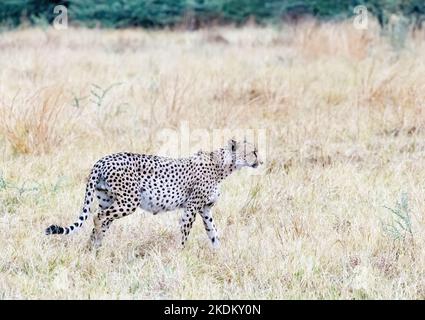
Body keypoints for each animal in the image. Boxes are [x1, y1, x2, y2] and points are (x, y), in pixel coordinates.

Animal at [44, 139, 260, 249]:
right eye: (253, 152)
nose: (261, 161)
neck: (223, 166)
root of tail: (103, 159)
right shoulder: (192, 207)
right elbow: (185, 233)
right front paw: (180, 255)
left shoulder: (205, 209)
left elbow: (213, 232)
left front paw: (219, 254)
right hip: (129, 201)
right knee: (98, 217)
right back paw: (96, 246)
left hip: (108, 199)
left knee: (102, 220)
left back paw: (92, 250)